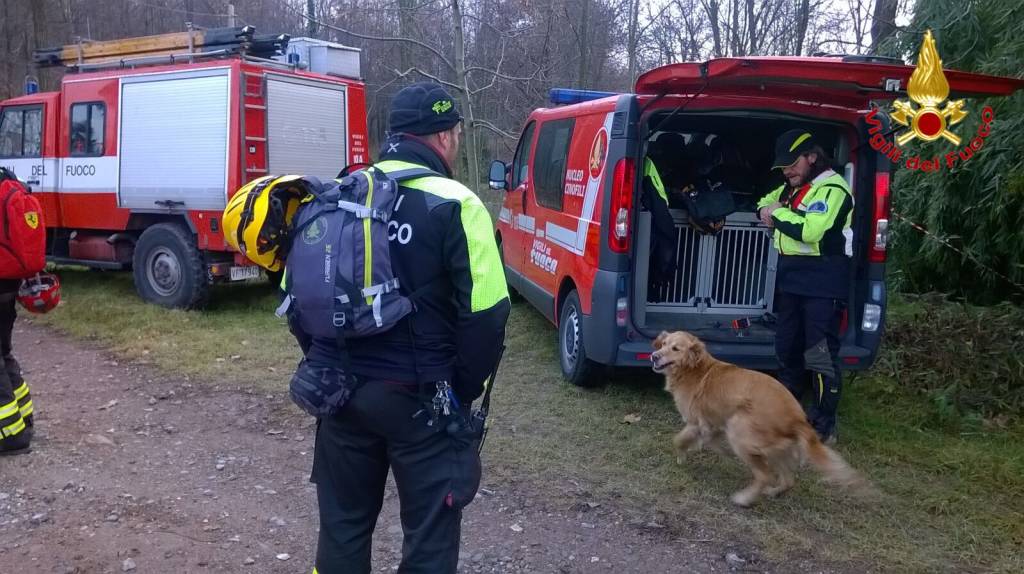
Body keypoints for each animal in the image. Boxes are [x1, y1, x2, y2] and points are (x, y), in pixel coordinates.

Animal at [651, 329, 868, 503]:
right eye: (663, 344)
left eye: (676, 348)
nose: (653, 356)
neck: (694, 369)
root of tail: (797, 418)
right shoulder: (715, 423)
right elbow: (709, 440)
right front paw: (713, 450)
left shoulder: (697, 422)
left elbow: (678, 440)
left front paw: (682, 457)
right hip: (775, 448)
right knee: (788, 479)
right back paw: (772, 492)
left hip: (739, 429)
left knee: (765, 476)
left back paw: (744, 498)